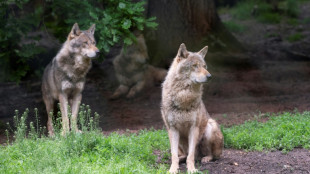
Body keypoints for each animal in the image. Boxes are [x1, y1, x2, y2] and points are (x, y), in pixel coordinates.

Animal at [161, 43, 224, 173]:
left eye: (204, 66)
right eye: (195, 66)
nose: (210, 76)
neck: (184, 95)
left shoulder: (193, 128)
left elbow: (191, 155)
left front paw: (192, 169)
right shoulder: (172, 129)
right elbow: (174, 154)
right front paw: (173, 169)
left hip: (210, 126)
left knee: (210, 155)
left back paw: (205, 158)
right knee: (182, 155)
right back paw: (181, 160)